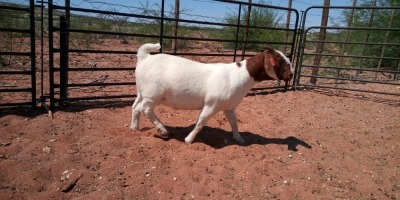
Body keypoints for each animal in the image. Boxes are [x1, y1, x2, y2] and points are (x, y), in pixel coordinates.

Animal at [131, 43, 294, 145]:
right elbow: (201, 122)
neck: (239, 75)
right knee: (146, 109)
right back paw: (162, 130)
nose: (291, 74)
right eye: (278, 60)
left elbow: (234, 122)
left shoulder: (229, 106)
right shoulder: (212, 104)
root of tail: (145, 57)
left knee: (135, 107)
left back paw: (134, 128)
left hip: (142, 91)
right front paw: (189, 140)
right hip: (152, 93)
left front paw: (239, 139)